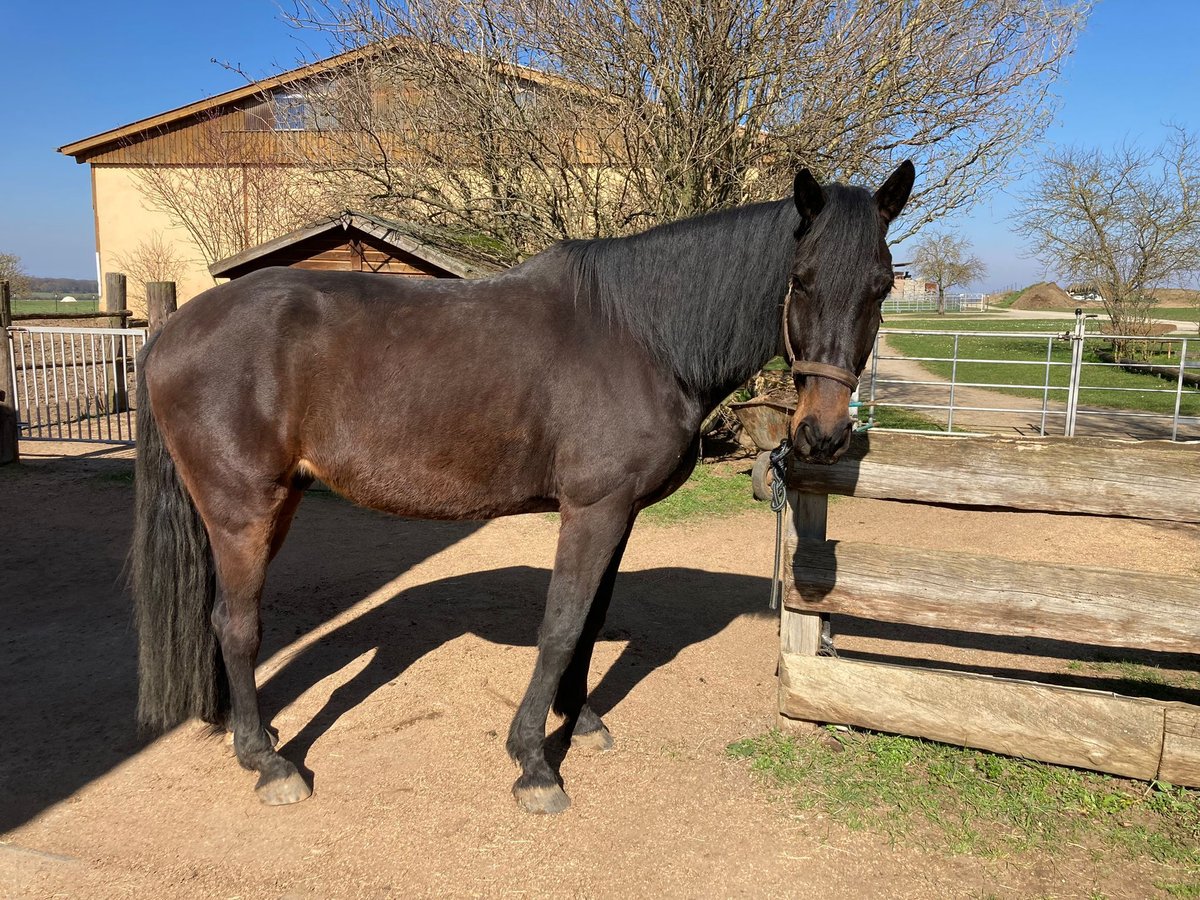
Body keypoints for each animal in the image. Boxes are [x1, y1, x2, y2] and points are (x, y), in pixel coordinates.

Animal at [131, 164, 912, 816]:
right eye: (801, 278)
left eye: (881, 287)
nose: (822, 435)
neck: (642, 335)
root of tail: (173, 328)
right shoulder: (592, 510)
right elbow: (561, 624)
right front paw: (534, 762)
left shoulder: (618, 514)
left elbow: (591, 621)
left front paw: (582, 720)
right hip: (244, 510)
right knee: (236, 625)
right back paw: (268, 762)